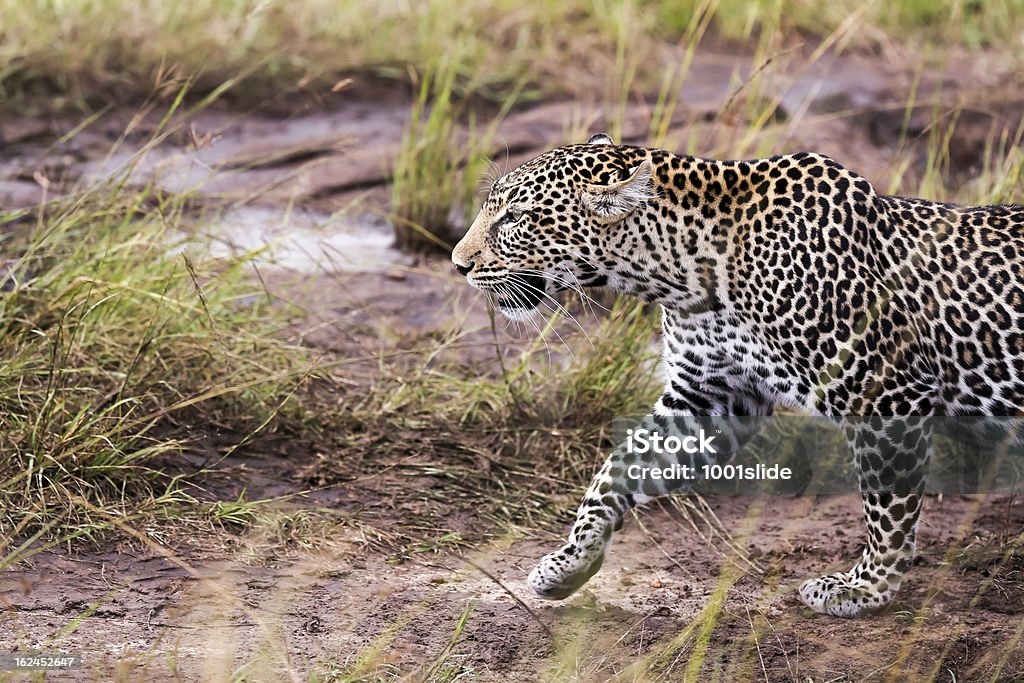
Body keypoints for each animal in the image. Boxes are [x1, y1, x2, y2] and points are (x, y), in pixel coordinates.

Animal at [450, 133, 1024, 618]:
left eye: (515, 218)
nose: (458, 263)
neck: (686, 277)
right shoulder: (710, 396)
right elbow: (618, 467)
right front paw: (570, 562)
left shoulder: (886, 393)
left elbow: (888, 508)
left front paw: (865, 590)